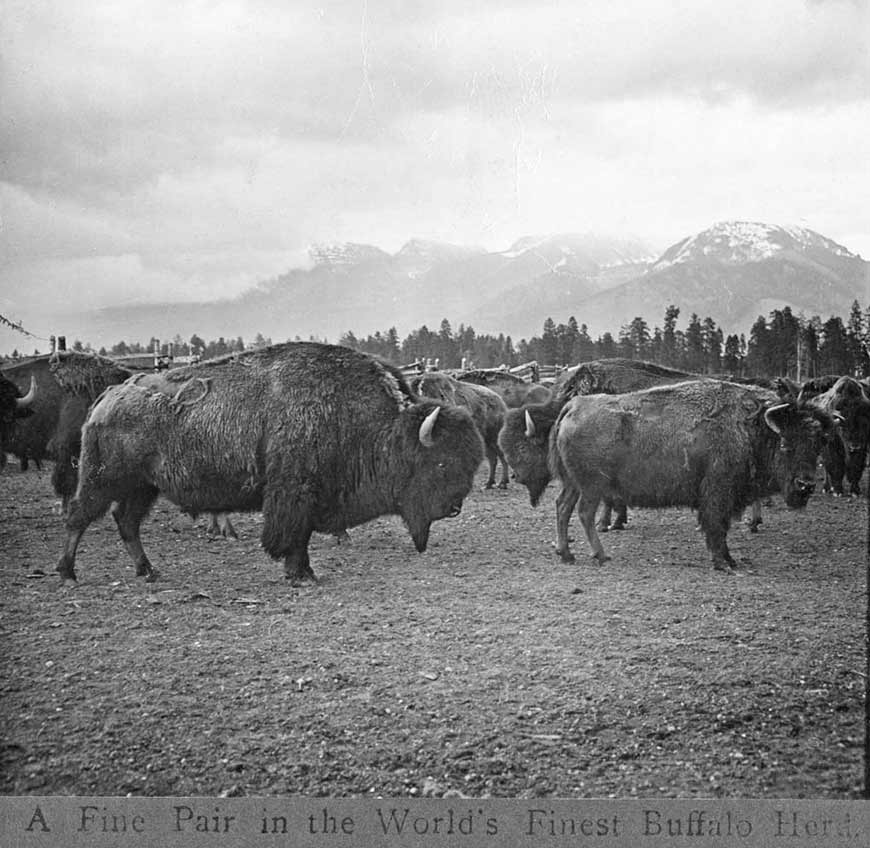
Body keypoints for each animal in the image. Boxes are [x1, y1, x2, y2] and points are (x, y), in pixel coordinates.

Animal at [58, 342, 488, 588]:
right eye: (441, 464)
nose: (454, 507)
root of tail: (108, 396)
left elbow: (302, 535)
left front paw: (301, 572)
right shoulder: (293, 494)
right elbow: (293, 536)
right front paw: (302, 575)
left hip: (143, 486)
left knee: (126, 522)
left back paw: (148, 571)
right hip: (104, 479)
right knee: (79, 515)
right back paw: (67, 571)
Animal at [548, 380, 836, 572]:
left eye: (819, 443)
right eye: (786, 443)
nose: (805, 485)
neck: (750, 428)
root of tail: (573, 406)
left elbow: (721, 529)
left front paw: (729, 560)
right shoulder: (718, 495)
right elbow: (717, 528)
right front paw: (723, 563)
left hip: (574, 484)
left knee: (562, 507)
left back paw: (566, 554)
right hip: (592, 487)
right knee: (583, 514)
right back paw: (600, 555)